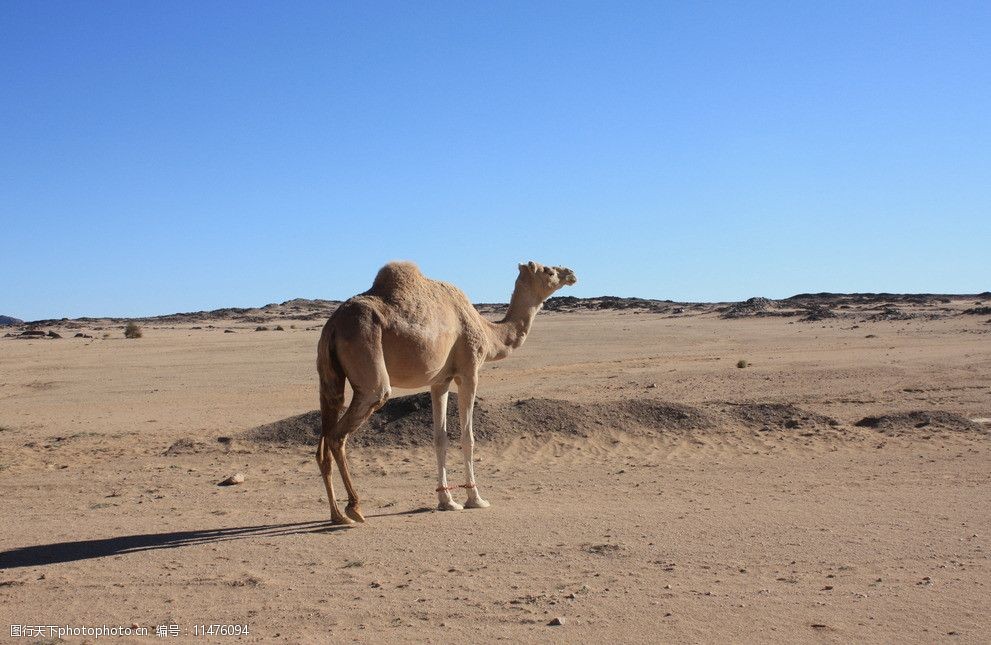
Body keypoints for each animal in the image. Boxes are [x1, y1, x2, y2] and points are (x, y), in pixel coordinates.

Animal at [318, 258, 576, 524]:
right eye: (549, 271)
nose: (571, 273)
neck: (487, 332)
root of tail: (333, 325)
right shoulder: (469, 372)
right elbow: (468, 437)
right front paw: (476, 498)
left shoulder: (439, 381)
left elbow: (439, 438)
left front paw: (447, 501)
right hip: (368, 358)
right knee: (340, 432)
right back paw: (354, 508)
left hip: (330, 376)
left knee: (325, 432)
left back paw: (337, 515)